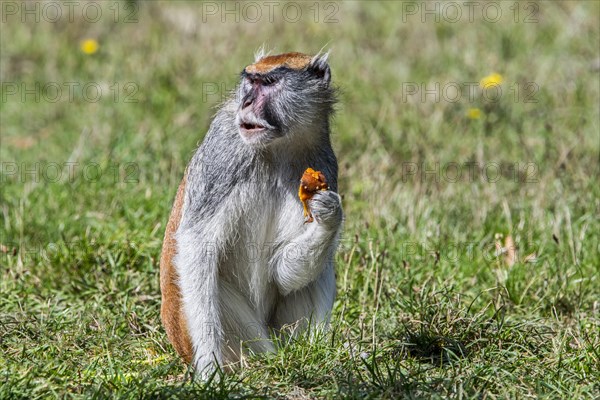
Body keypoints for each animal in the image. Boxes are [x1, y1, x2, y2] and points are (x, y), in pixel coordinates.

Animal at [159, 50, 342, 378]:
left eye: (268, 83)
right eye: (250, 82)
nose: (245, 103)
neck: (278, 147)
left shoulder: (323, 160)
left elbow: (282, 271)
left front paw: (330, 213)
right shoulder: (226, 148)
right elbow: (196, 244)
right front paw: (208, 368)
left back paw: (315, 352)